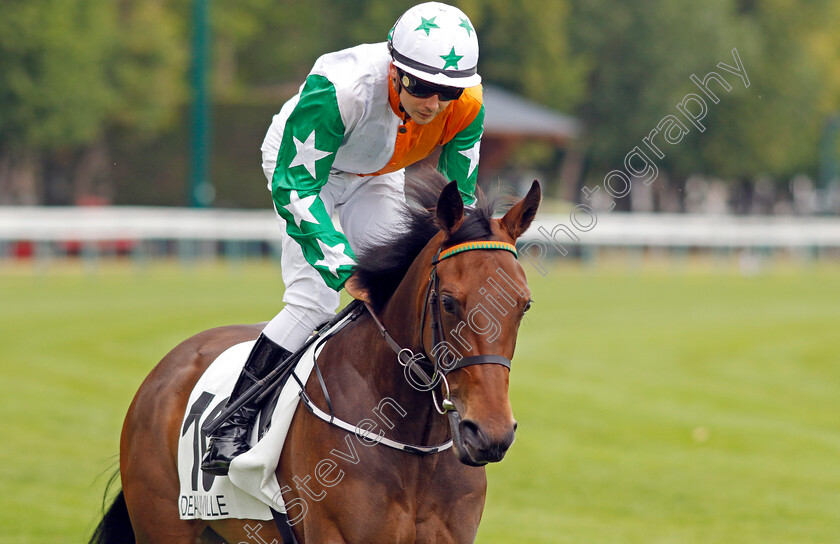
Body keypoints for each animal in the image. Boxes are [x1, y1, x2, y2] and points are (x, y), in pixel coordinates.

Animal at [88, 173, 540, 544]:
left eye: (524, 305)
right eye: (448, 302)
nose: (490, 433)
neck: (415, 446)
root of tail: (162, 372)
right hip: (163, 526)